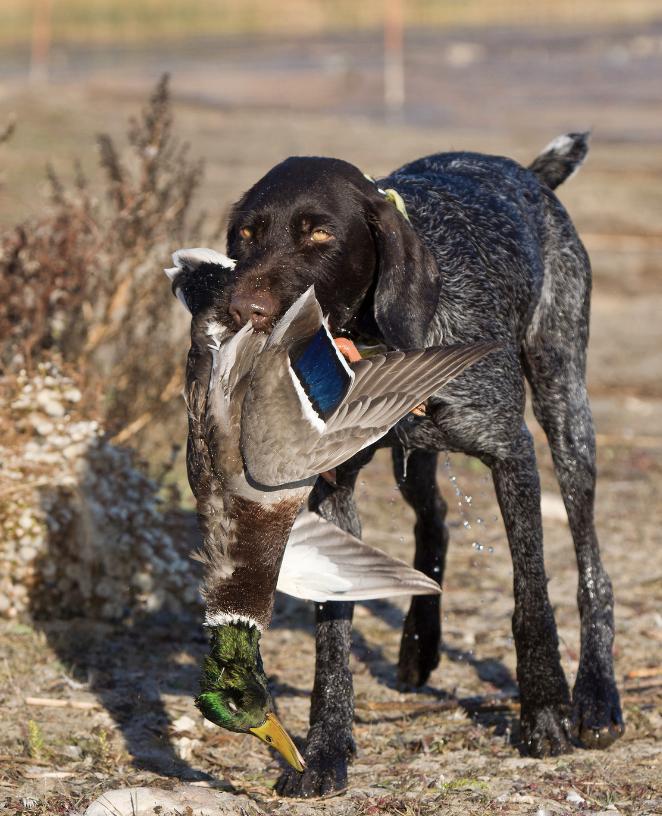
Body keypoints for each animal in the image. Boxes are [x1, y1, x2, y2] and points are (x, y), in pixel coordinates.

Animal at [215, 134, 624, 796]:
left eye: (320, 234)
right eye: (248, 235)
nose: (238, 308)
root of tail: (529, 175)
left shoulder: (511, 453)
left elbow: (532, 598)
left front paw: (544, 712)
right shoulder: (334, 491)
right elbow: (333, 636)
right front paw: (326, 747)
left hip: (566, 407)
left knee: (591, 564)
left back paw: (596, 693)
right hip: (417, 457)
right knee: (433, 521)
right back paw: (418, 642)